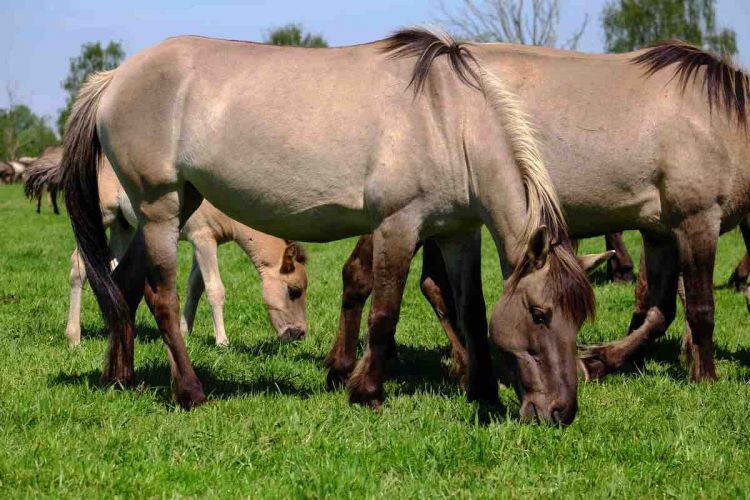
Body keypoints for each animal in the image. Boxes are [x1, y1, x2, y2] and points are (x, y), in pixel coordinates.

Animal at [26, 154, 308, 346]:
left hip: (122, 224)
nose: (299, 334)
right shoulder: (203, 238)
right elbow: (215, 289)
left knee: (113, 269)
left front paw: (184, 331)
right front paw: (222, 341)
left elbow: (196, 286)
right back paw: (74, 337)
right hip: (100, 216)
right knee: (79, 267)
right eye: (294, 290)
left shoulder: (201, 241)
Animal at [61, 29, 596, 424]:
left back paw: (121, 378)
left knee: (124, 286)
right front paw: (367, 392)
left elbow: (471, 309)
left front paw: (482, 393)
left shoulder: (457, 232)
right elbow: (384, 313)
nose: (560, 412)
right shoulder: (398, 225)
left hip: (171, 206)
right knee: (161, 297)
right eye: (541, 314)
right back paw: (190, 392)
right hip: (160, 209)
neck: (448, 119)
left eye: (579, 319)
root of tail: (114, 77)